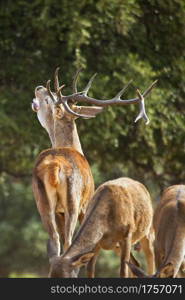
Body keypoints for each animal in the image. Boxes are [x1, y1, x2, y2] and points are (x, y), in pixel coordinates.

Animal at [31, 68, 156, 274]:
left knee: (57, 241)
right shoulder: (84, 204)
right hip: (71, 201)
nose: (39, 87)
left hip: (47, 203)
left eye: (48, 99)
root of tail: (54, 167)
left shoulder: (77, 206)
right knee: (67, 241)